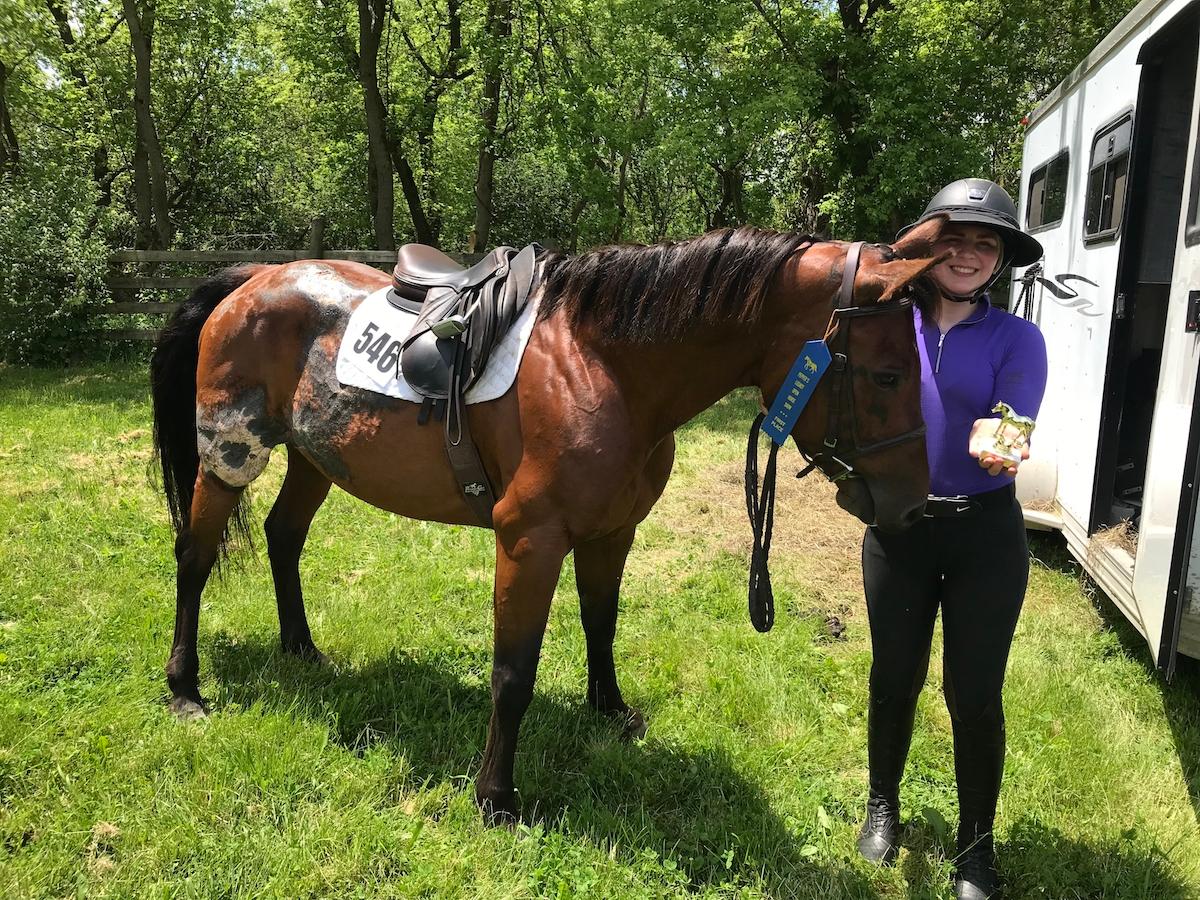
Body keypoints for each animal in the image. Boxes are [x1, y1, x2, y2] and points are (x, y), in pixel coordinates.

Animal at [149, 217, 945, 823]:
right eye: (888, 375)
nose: (913, 506)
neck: (606, 364)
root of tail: (249, 280)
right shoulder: (528, 541)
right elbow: (513, 672)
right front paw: (495, 796)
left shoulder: (612, 533)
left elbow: (601, 622)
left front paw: (609, 709)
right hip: (229, 457)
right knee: (194, 558)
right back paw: (185, 689)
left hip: (317, 457)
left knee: (284, 538)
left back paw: (302, 648)